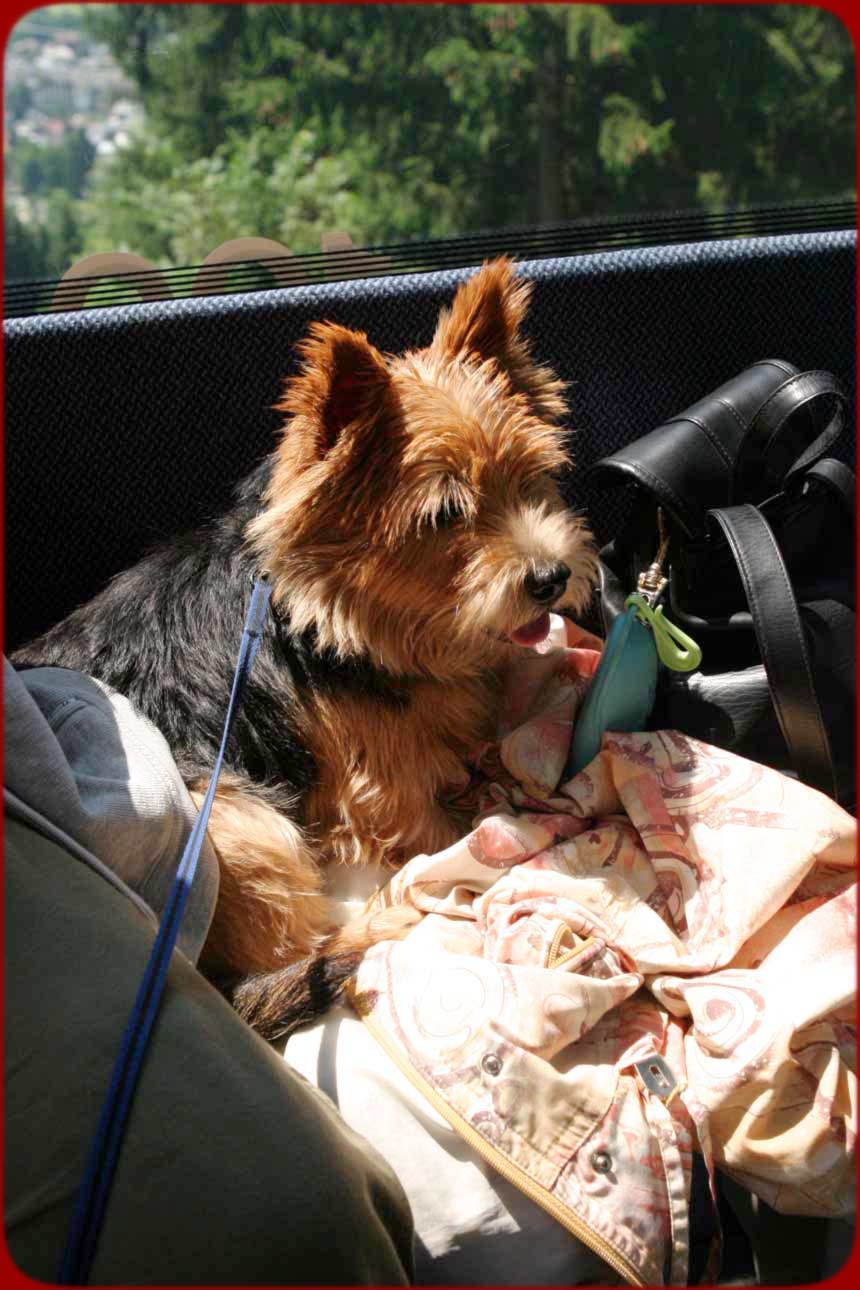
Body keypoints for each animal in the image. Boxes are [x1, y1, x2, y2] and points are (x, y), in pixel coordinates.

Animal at [13, 258, 597, 1038]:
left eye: (533, 475)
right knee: (301, 949)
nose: (551, 577)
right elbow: (441, 829)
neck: (325, 614)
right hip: (240, 823)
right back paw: (377, 928)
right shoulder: (385, 793)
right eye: (445, 514)